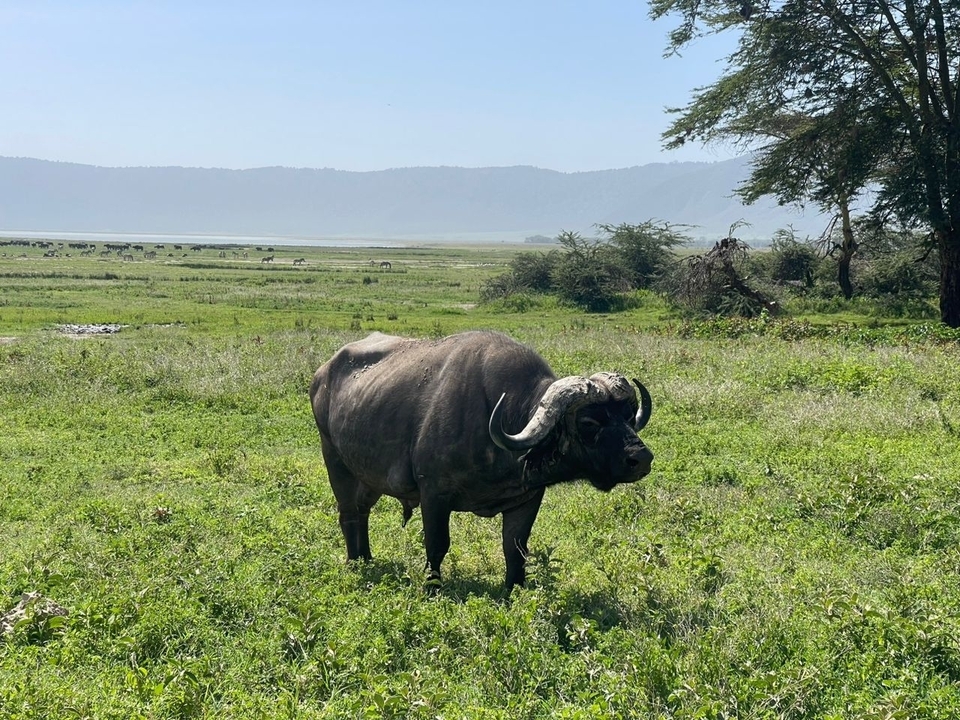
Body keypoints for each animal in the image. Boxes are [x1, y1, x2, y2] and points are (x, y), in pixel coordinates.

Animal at [309, 330, 653, 589]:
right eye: (590, 422)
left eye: (626, 415)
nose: (642, 458)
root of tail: (322, 374)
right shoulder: (434, 494)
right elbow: (437, 544)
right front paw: (431, 588)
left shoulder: (526, 499)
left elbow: (516, 549)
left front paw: (514, 590)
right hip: (335, 461)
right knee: (348, 513)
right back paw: (354, 562)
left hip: (368, 477)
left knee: (363, 511)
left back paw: (366, 558)